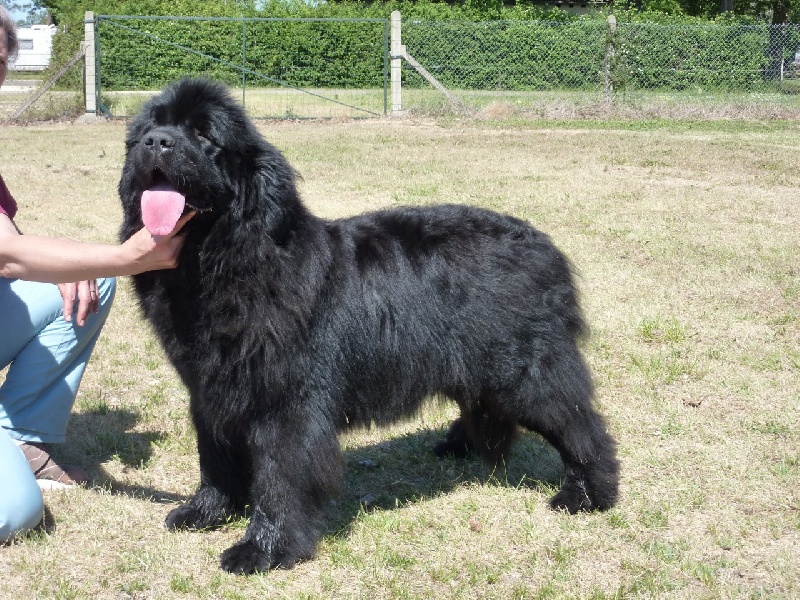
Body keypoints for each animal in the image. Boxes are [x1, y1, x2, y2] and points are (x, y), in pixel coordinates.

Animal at [118, 78, 619, 574]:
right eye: (149, 128)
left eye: (205, 135)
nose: (156, 142)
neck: (226, 260)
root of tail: (545, 246)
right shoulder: (210, 389)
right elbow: (214, 456)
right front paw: (205, 511)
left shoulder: (286, 400)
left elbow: (280, 475)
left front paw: (264, 549)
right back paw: (462, 446)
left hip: (525, 372)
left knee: (580, 423)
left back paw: (588, 493)